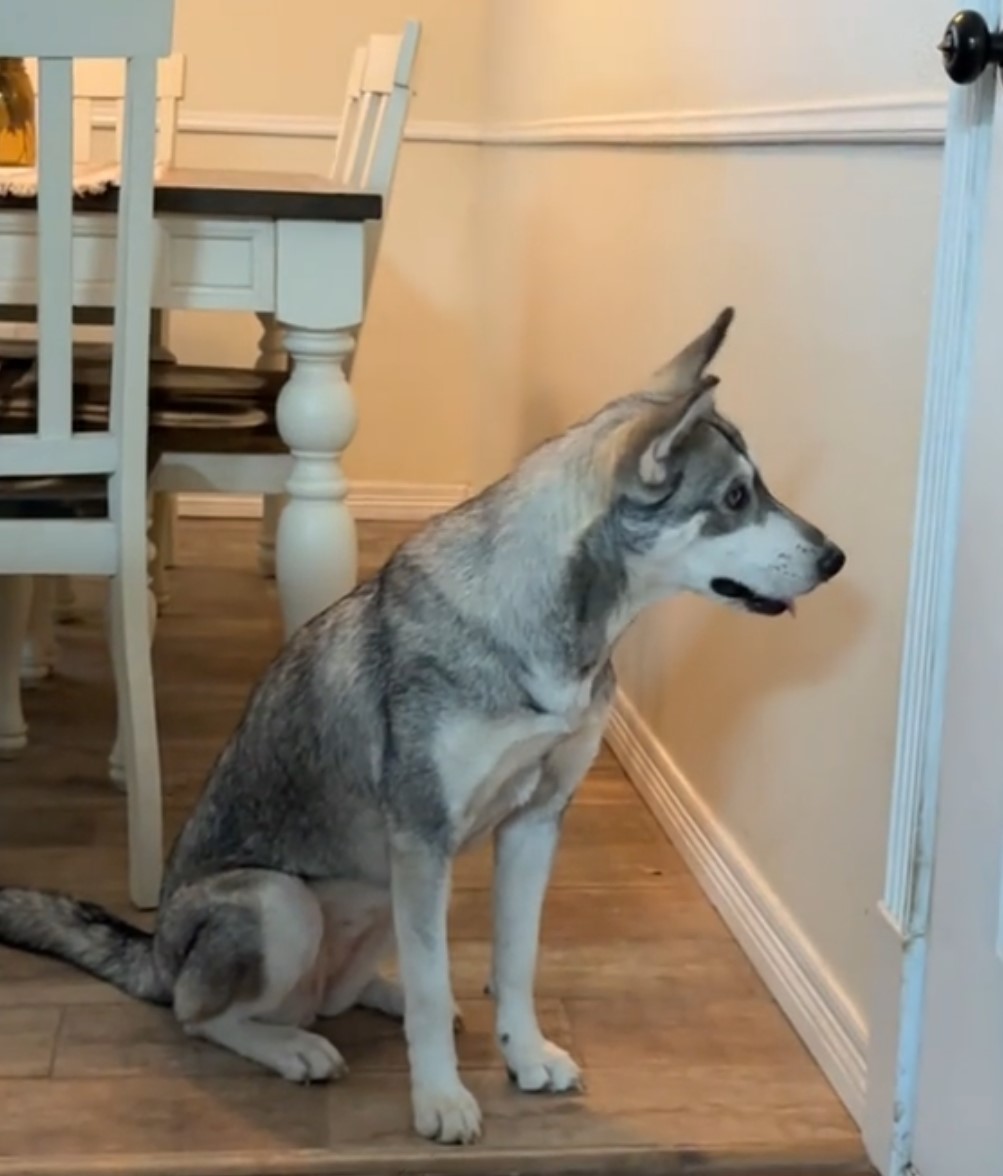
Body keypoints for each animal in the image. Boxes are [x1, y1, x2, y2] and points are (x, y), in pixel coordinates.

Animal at [0, 308, 846, 1143]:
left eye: (756, 490)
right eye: (733, 498)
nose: (835, 558)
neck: (550, 630)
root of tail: (156, 952)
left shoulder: (533, 825)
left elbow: (512, 963)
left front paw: (523, 1055)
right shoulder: (423, 838)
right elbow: (438, 989)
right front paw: (440, 1100)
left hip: (382, 893)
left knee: (349, 989)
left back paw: (379, 996)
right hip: (283, 902)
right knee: (201, 1014)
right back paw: (293, 1046)